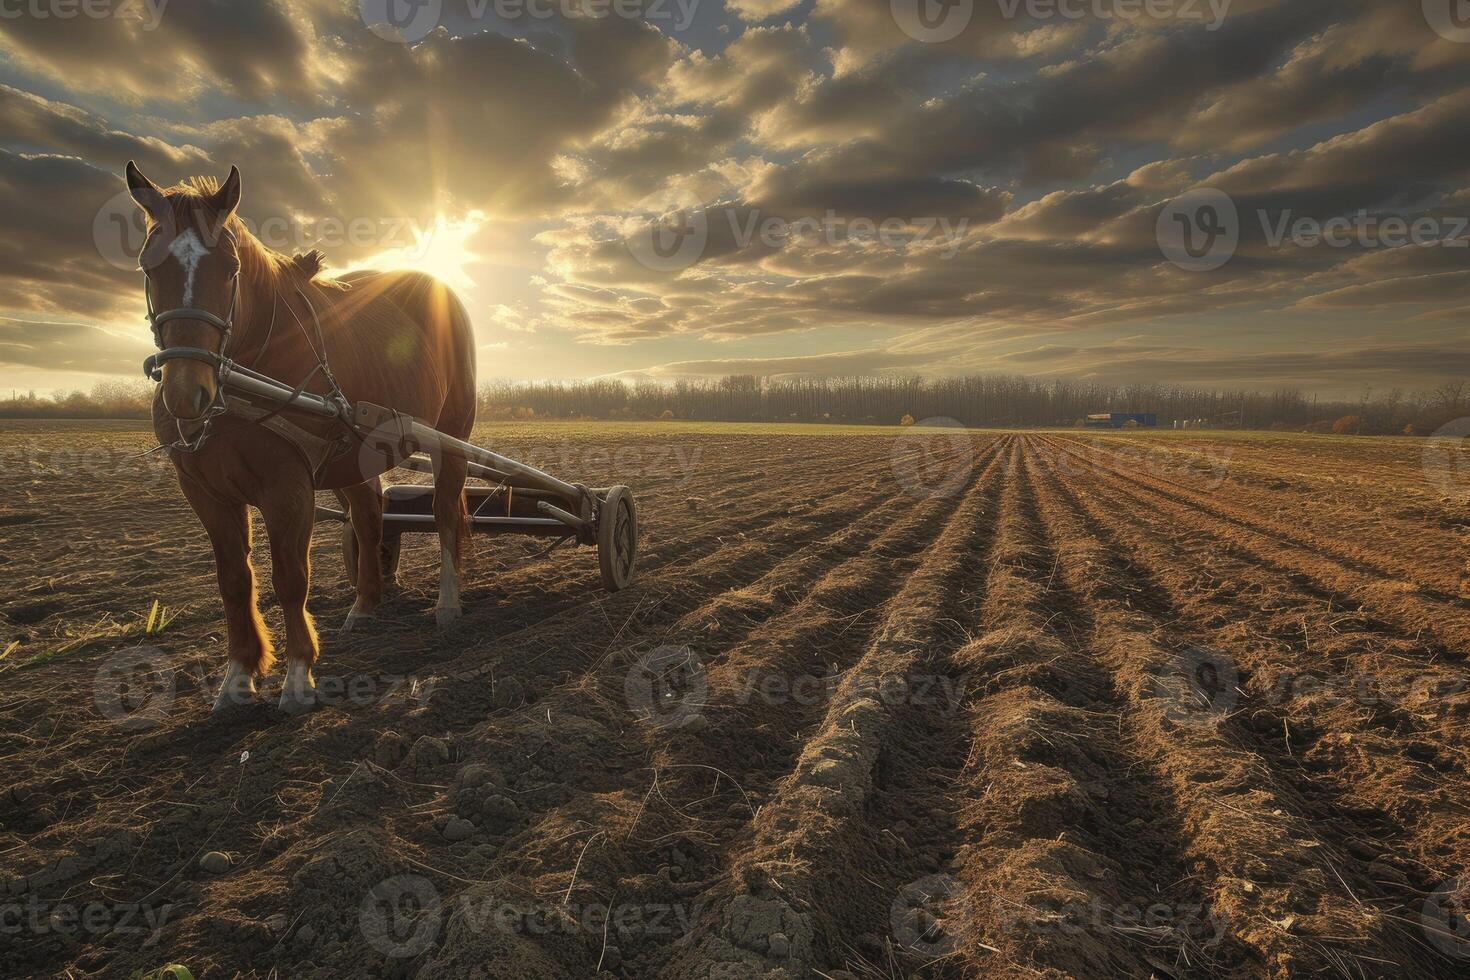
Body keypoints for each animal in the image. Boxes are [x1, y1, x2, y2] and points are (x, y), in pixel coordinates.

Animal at [124, 159, 476, 714]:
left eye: (230, 268)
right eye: (148, 266)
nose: (186, 392)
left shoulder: (287, 485)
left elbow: (290, 578)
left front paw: (296, 676)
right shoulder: (204, 491)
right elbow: (233, 580)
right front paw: (237, 676)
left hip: (451, 437)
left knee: (445, 513)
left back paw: (447, 603)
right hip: (355, 456)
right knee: (369, 517)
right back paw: (365, 604)